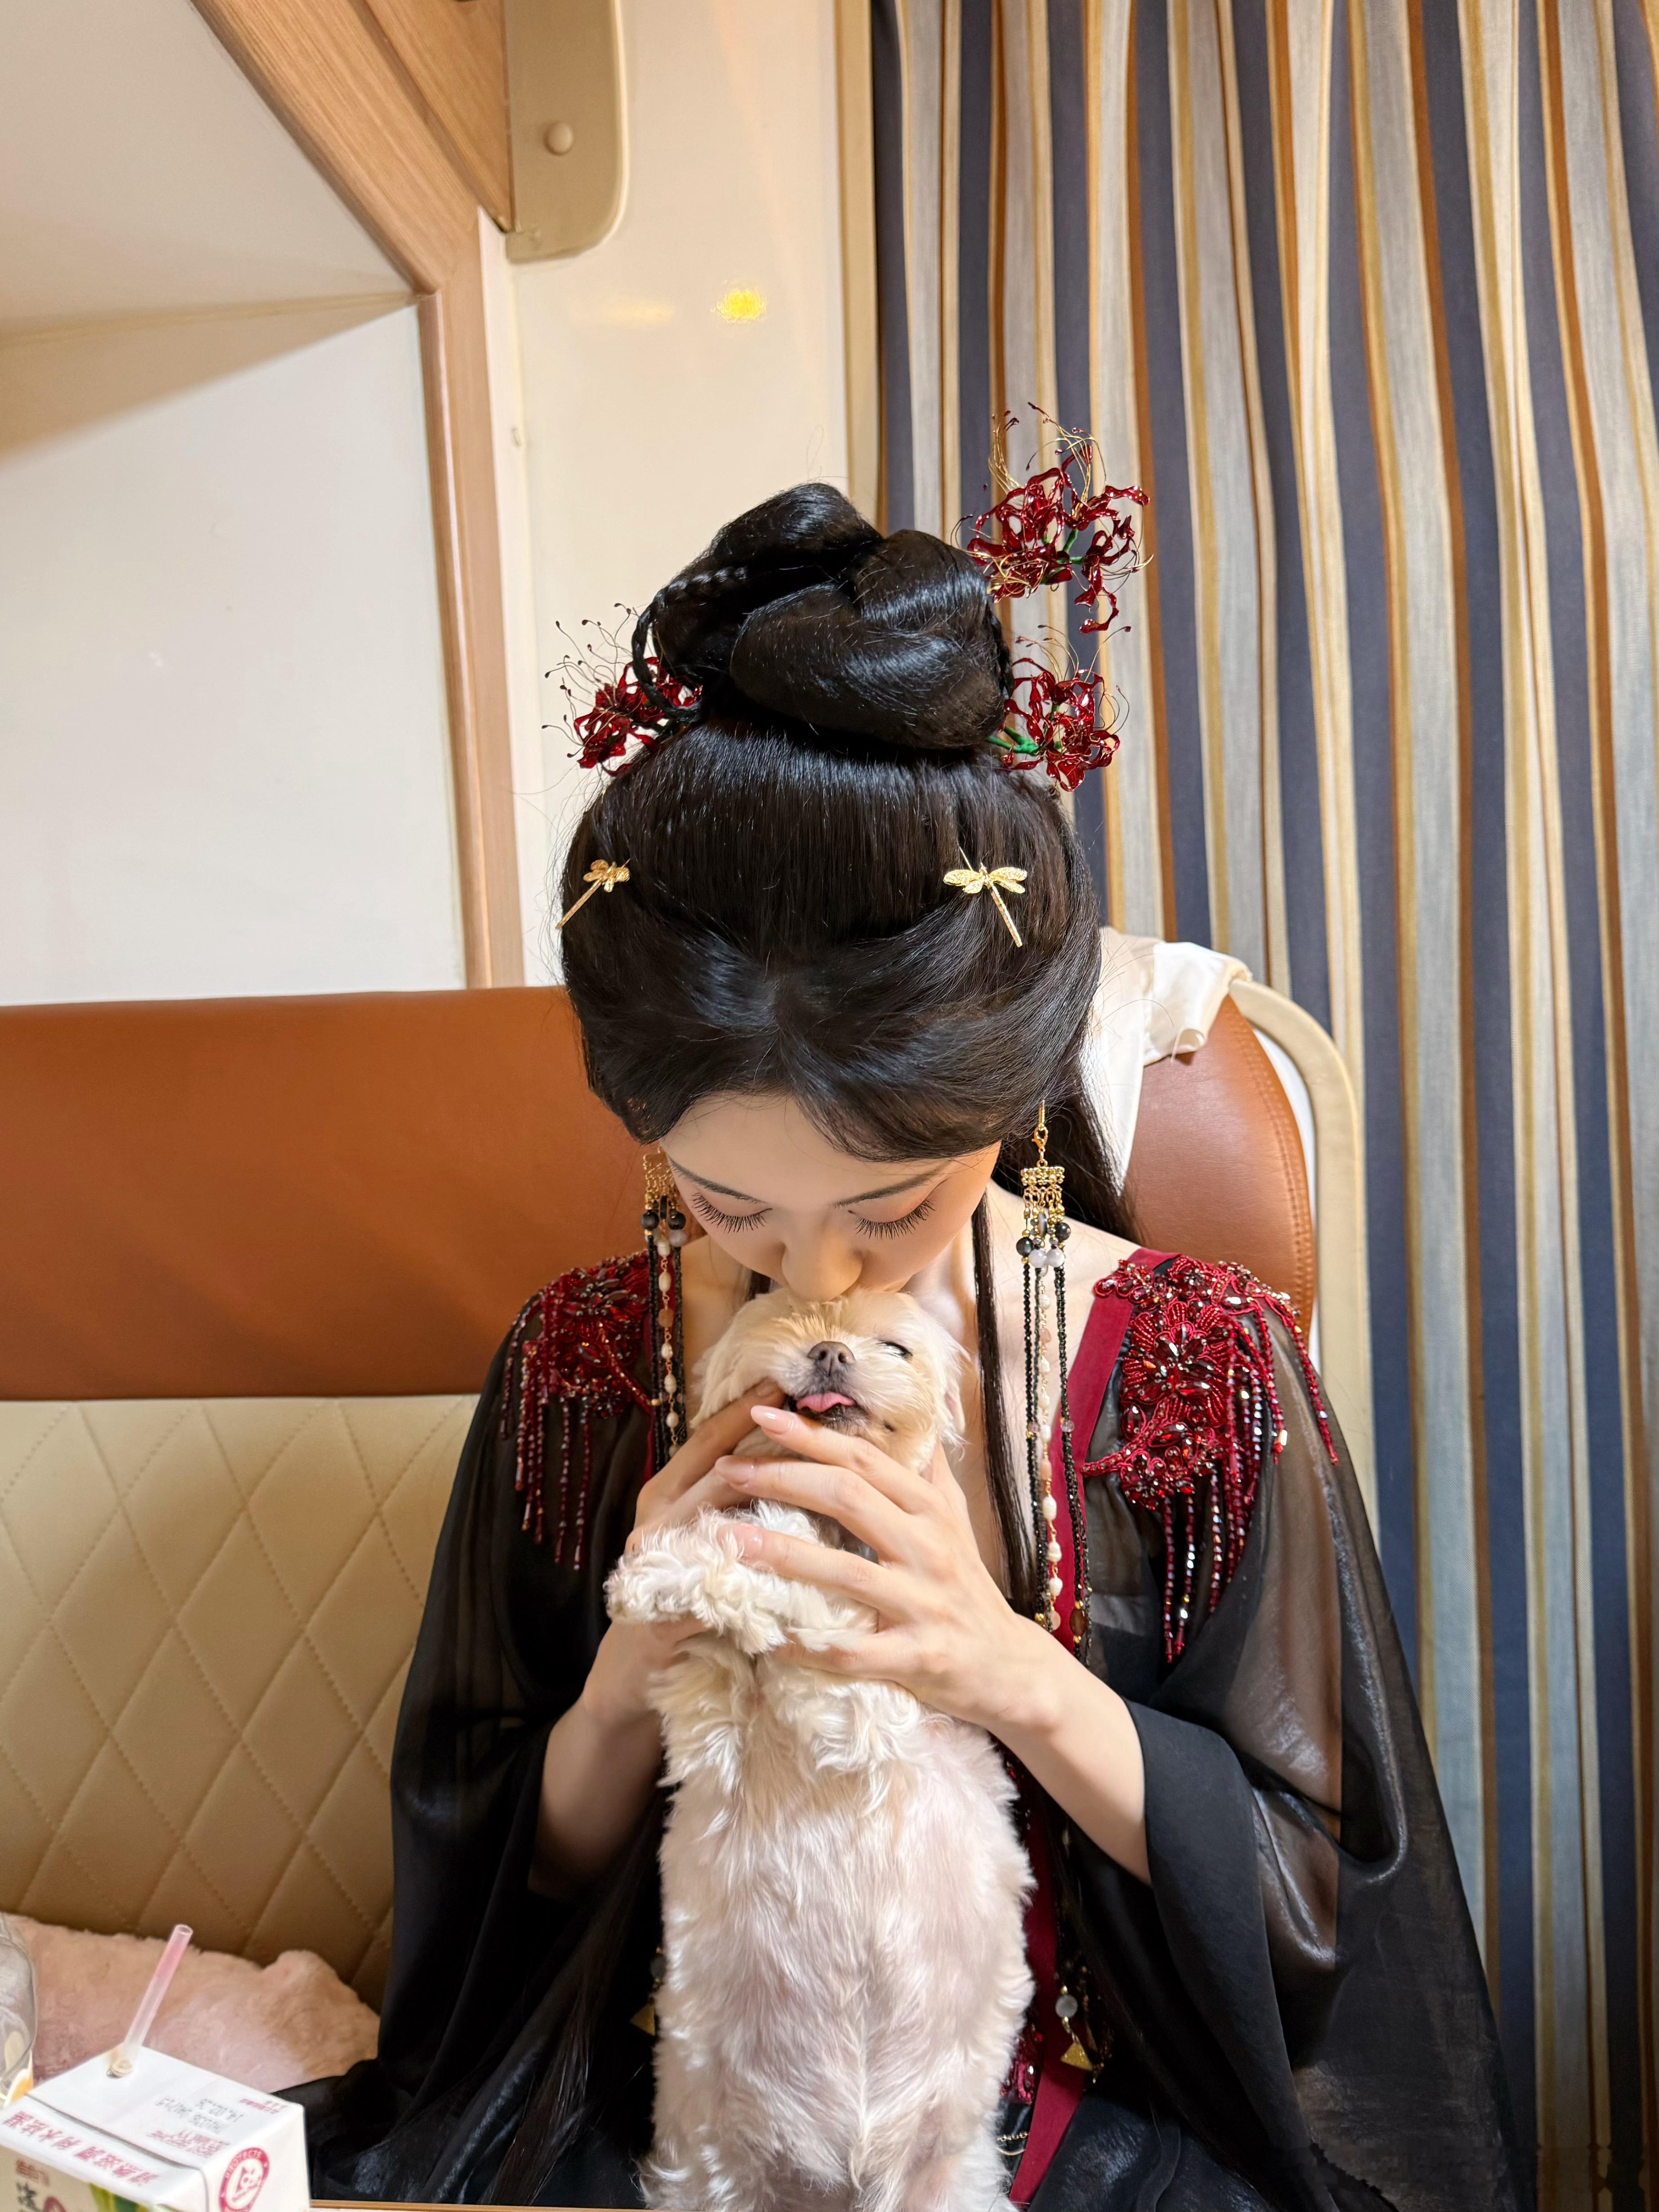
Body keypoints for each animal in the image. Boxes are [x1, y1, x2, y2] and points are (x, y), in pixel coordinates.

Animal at [605, 1289, 1033, 2212]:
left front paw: (742, 1553)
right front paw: (665, 1570)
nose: (831, 1351)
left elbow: (804, 1593)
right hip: (708, 2176)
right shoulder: (708, 1714)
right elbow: (725, 1629)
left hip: (946, 2184)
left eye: (895, 1347)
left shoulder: (867, 1703)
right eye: (787, 1322)